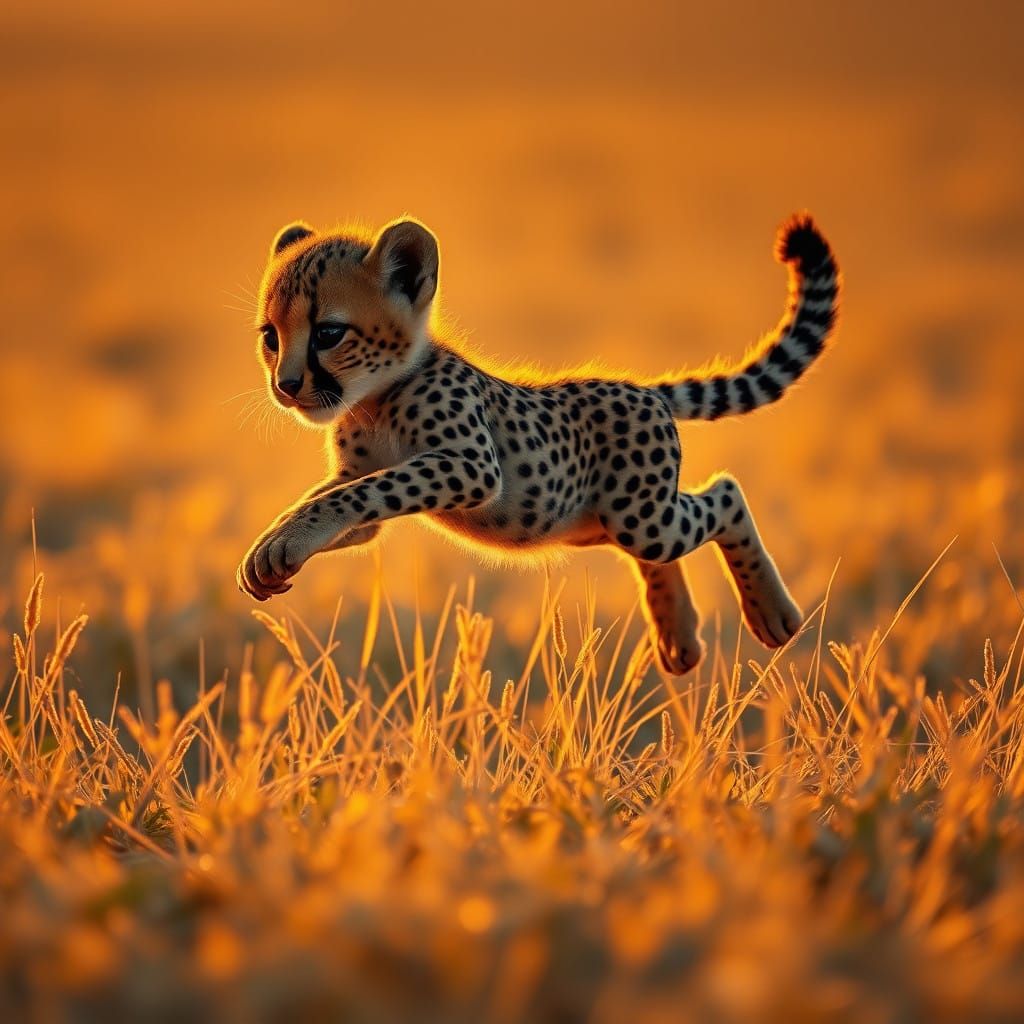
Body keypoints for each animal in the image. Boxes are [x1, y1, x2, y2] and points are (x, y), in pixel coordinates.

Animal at [237, 213, 840, 675]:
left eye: (328, 333)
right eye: (270, 337)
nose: (286, 385)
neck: (374, 397)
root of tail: (639, 387)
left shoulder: (471, 466)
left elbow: (356, 493)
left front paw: (285, 542)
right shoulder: (366, 492)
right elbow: (328, 499)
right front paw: (270, 547)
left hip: (640, 517)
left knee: (725, 495)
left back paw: (772, 614)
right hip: (601, 523)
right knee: (662, 548)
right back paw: (678, 635)